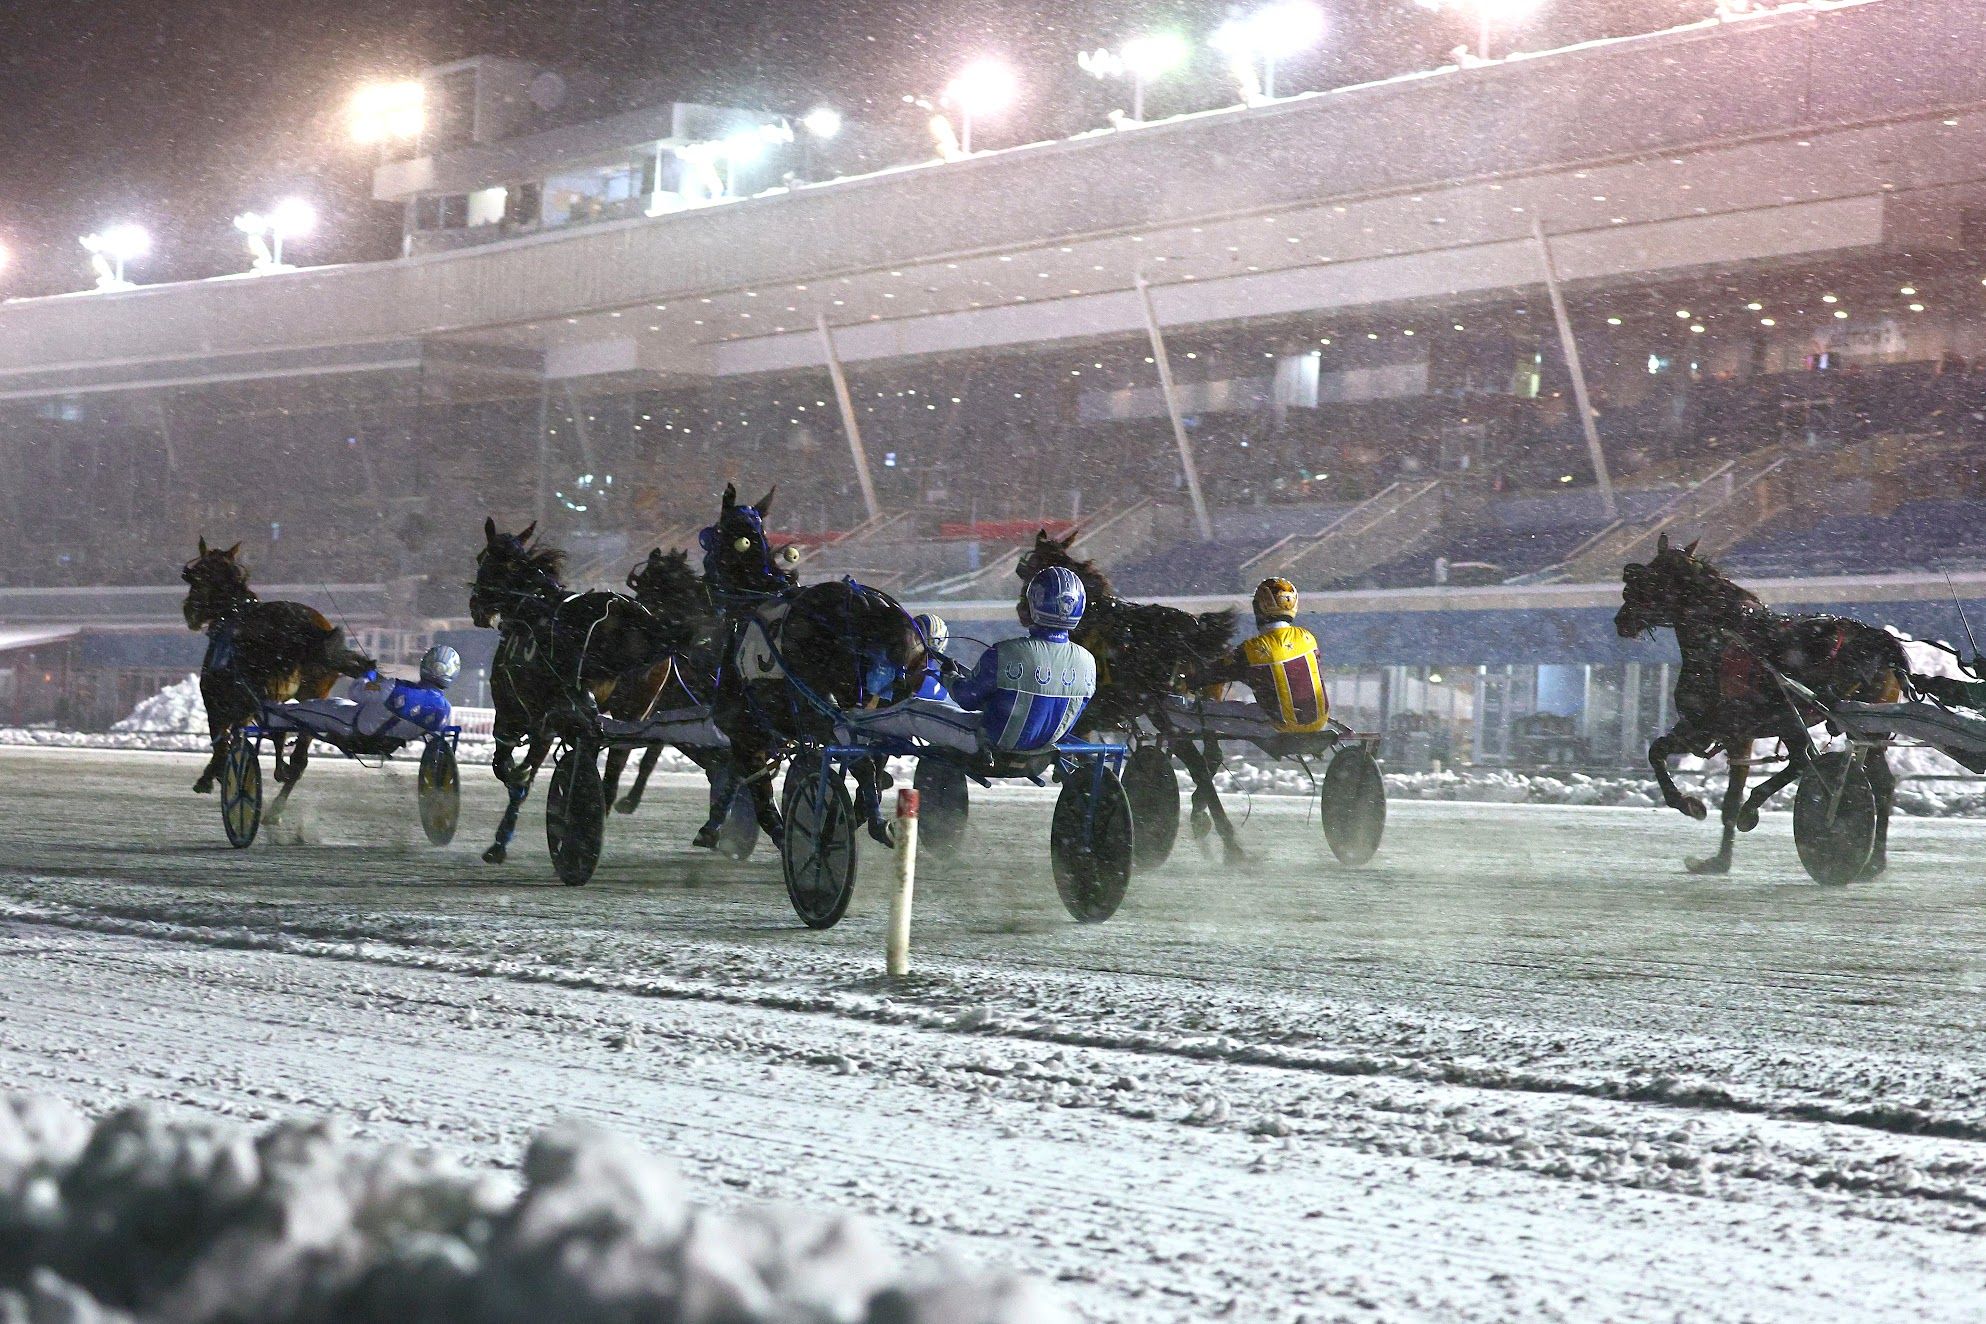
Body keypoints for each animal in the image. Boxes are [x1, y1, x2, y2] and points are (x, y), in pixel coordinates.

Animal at [184, 539, 377, 809]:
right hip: (312, 693)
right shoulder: (246, 706)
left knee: (279, 736)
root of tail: (310, 629)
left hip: (268, 691)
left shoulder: (218, 702)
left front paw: (212, 776)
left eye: (196, 575)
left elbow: (221, 741)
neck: (234, 613)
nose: (189, 610)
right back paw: (277, 802)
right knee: (299, 757)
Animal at [468, 516, 687, 869]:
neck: (533, 607)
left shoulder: (513, 714)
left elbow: (508, 769)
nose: (476, 606)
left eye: (482, 559)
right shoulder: (555, 725)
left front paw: (500, 841)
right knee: (613, 772)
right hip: (632, 712)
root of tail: (620, 612)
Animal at [703, 484, 925, 849]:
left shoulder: (745, 730)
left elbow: (761, 798)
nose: (706, 582)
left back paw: (865, 824)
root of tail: (868, 604)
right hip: (888, 704)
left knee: (863, 763)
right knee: (876, 759)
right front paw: (713, 824)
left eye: (713, 536)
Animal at [1008, 531, 1239, 865]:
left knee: (1196, 762)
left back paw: (1224, 835)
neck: (1090, 617)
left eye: (1026, 570)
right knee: (1210, 756)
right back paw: (1210, 822)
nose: (1021, 609)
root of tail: (1188, 628)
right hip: (1197, 706)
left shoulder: (1092, 709)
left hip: (1163, 709)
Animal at [1620, 531, 1914, 873]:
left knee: (1806, 763)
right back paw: (1875, 862)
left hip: (1804, 719)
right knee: (1881, 784)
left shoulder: (1729, 730)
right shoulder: (1708, 730)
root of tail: (1880, 641)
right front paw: (1717, 854)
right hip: (1863, 728)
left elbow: (1725, 791)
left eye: (1649, 578)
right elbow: (1659, 753)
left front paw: (1701, 809)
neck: (1721, 639)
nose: (1621, 619)